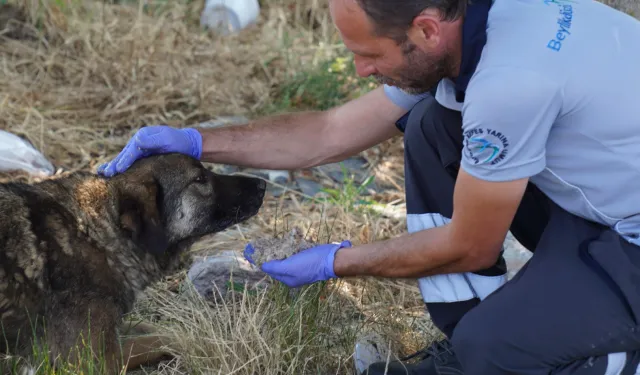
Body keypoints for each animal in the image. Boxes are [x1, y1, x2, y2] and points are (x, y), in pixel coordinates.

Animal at [0, 153, 266, 374]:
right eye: (199, 178)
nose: (262, 184)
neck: (96, 234)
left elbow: (155, 328)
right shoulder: (93, 361)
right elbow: (168, 337)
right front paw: (194, 341)